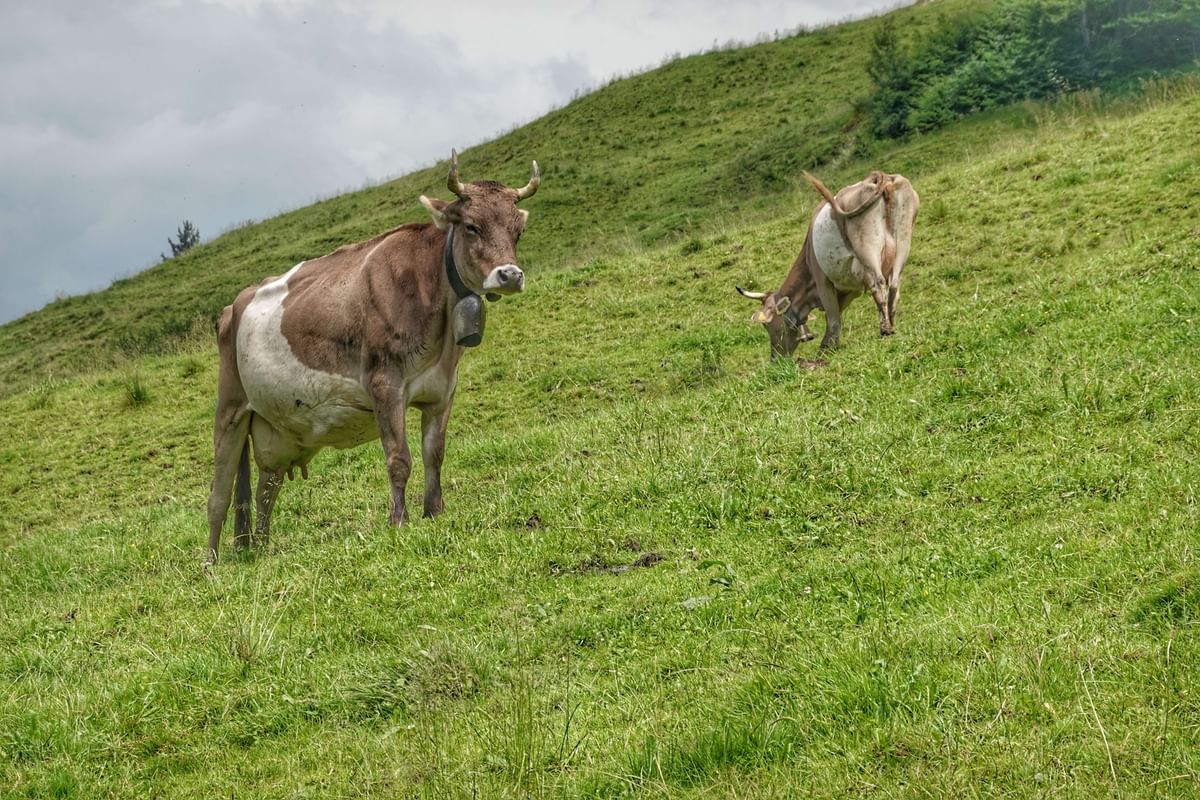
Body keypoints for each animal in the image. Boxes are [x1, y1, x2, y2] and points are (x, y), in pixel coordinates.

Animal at [205, 151, 539, 562]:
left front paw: (434, 512)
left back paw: (263, 548)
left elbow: (434, 453)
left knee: (266, 489)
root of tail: (233, 304)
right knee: (219, 496)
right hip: (231, 409)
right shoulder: (385, 385)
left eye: (517, 230)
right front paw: (398, 521)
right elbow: (399, 458)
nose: (509, 275)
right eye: (472, 226)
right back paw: (211, 561)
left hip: (274, 429)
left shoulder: (443, 390)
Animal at [737, 170, 918, 357]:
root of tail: (877, 177)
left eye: (767, 325)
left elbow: (832, 316)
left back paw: (885, 329)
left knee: (879, 284)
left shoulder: (823, 281)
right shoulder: (851, 288)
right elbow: (837, 314)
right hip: (903, 241)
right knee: (894, 286)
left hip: (867, 248)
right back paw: (892, 324)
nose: (775, 358)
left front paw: (827, 347)